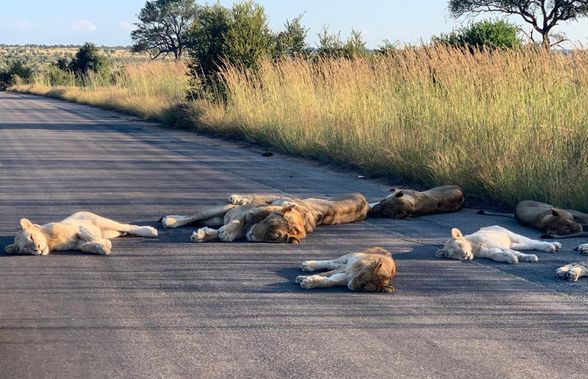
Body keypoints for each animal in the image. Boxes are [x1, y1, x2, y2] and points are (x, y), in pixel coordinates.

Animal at [2, 212, 158, 256]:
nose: (37, 249)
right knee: (122, 231)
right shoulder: (75, 244)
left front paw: (103, 244)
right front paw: (101, 247)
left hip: (103, 222)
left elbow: (90, 236)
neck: (51, 242)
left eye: (32, 237)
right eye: (25, 249)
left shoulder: (79, 227)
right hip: (110, 232)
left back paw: (150, 231)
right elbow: (85, 247)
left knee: (129, 226)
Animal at [434, 226, 564, 264]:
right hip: (514, 243)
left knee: (533, 241)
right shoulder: (490, 252)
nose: (465, 255)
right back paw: (554, 246)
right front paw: (510, 259)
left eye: (460, 245)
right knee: (527, 245)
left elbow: (516, 253)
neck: (474, 248)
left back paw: (552, 246)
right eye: (454, 254)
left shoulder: (497, 244)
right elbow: (498, 255)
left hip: (511, 235)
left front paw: (529, 257)